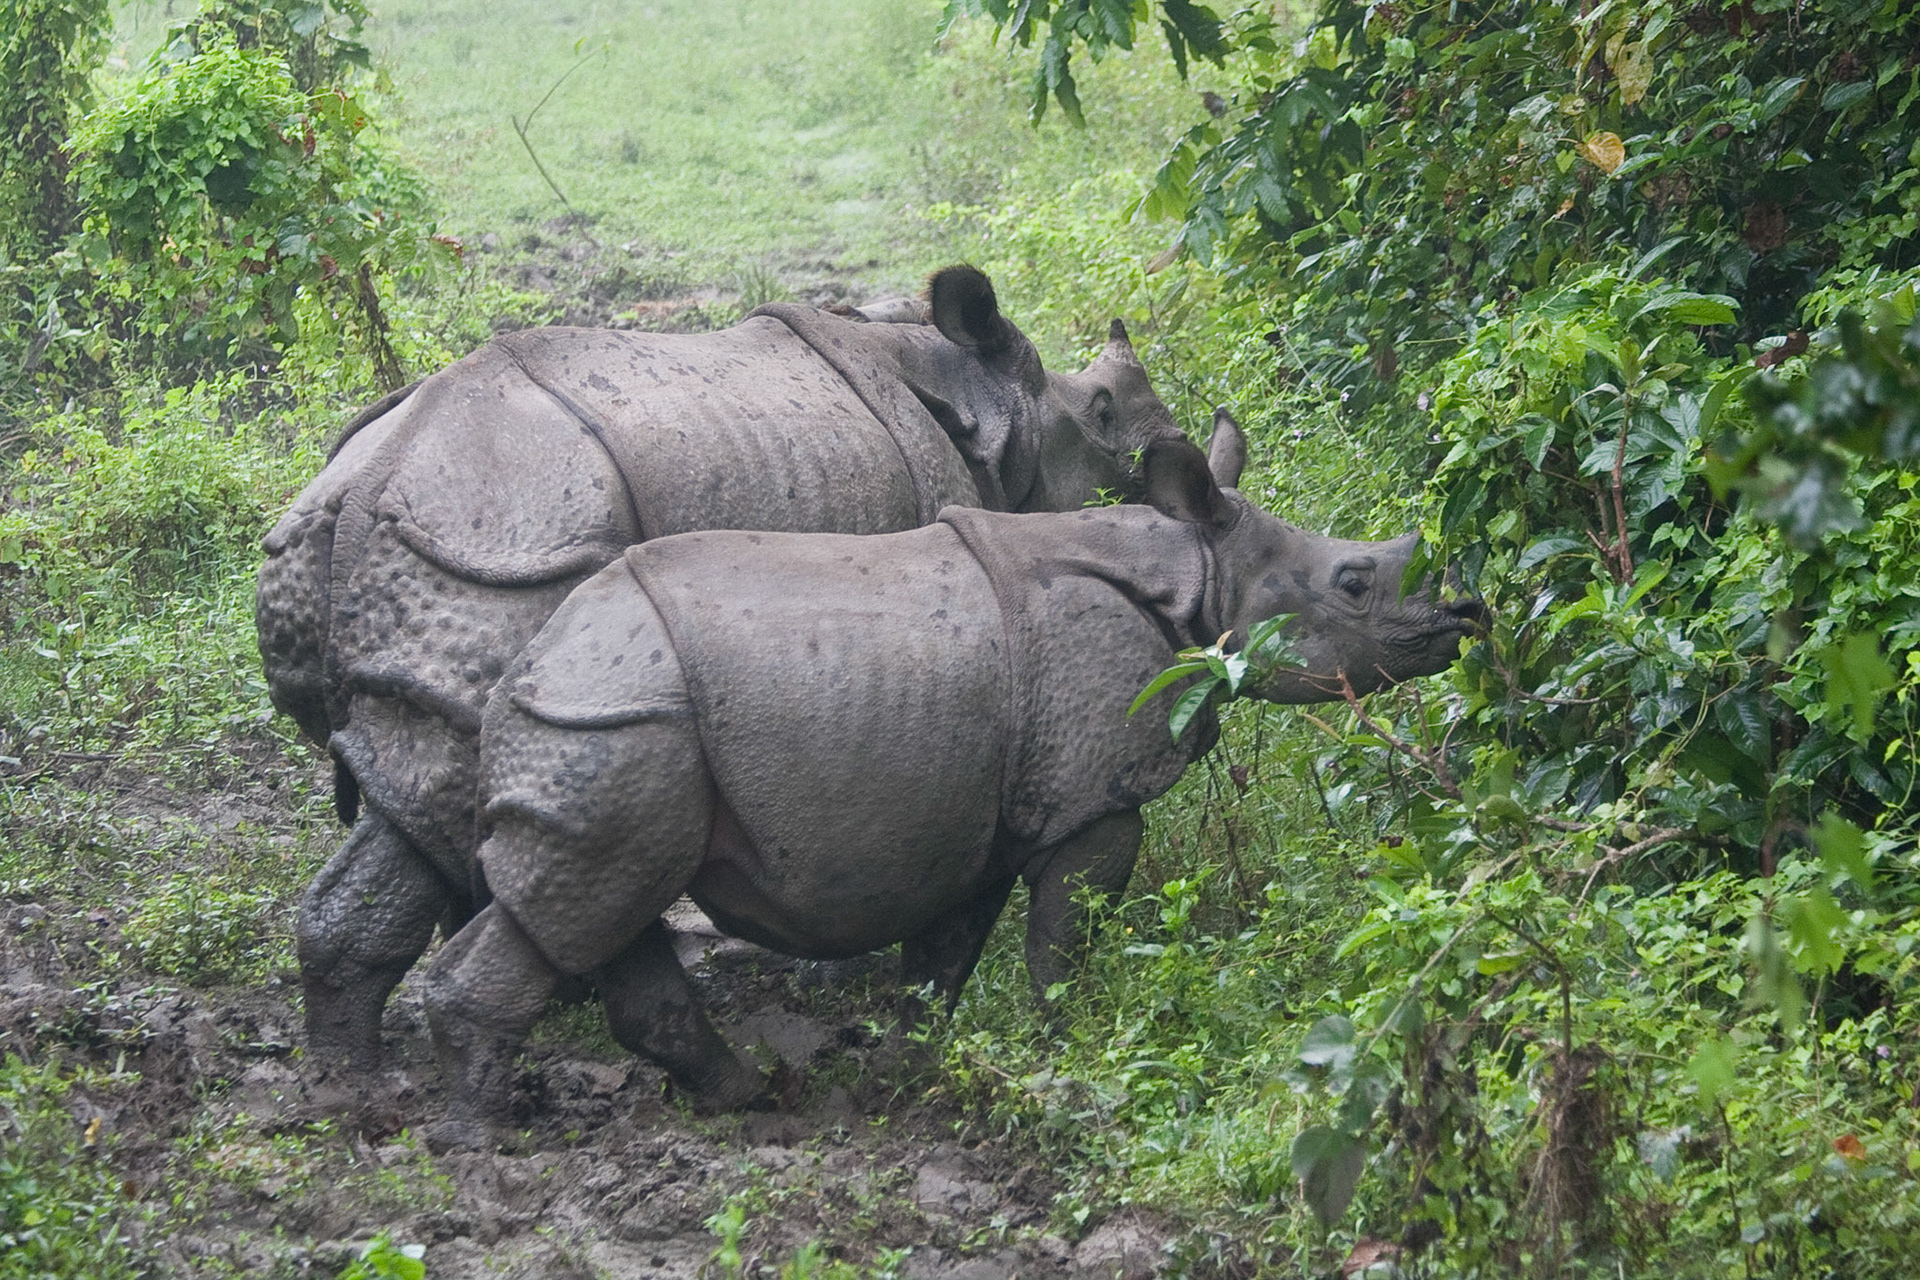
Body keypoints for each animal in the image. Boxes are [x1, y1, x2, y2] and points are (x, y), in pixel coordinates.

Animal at [256, 266, 1187, 1070]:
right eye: (1103, 416)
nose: (1174, 456)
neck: (994, 410)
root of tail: (365, 485)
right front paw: (841, 973)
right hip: (499, 549)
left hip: (371, 552)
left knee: (426, 796)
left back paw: (369, 1080)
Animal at [420, 428, 1487, 1135]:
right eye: (1355, 582)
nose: (1467, 614)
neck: (1198, 567)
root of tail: (530, 667)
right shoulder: (1095, 792)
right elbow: (1064, 936)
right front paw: (1061, 1050)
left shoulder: (979, 812)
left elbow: (943, 959)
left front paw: (907, 1075)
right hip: (627, 722)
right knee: (593, 902)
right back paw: (488, 1139)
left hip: (617, 728)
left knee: (598, 901)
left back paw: (751, 1101)